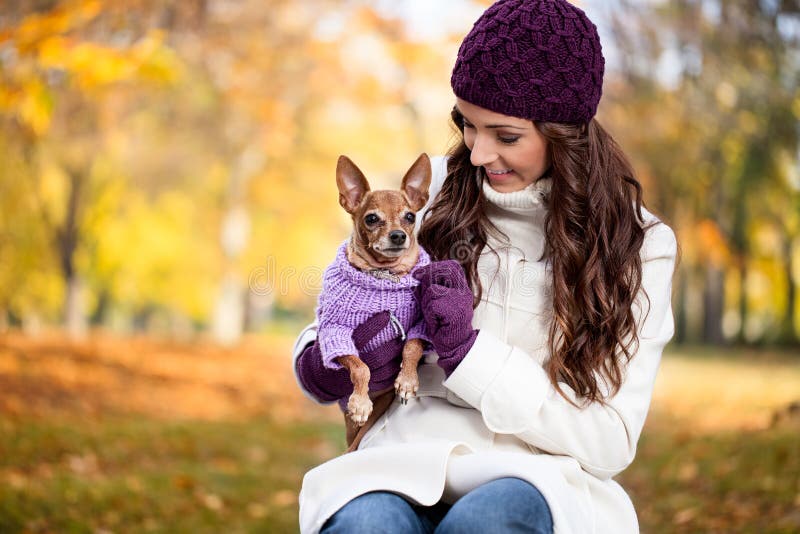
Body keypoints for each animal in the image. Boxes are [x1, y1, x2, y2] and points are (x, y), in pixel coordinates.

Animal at [324, 153, 432, 442]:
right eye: (371, 219)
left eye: (409, 216)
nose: (398, 235)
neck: (383, 276)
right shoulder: (334, 333)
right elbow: (361, 367)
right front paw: (360, 403)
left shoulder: (421, 324)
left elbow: (412, 346)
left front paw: (407, 380)